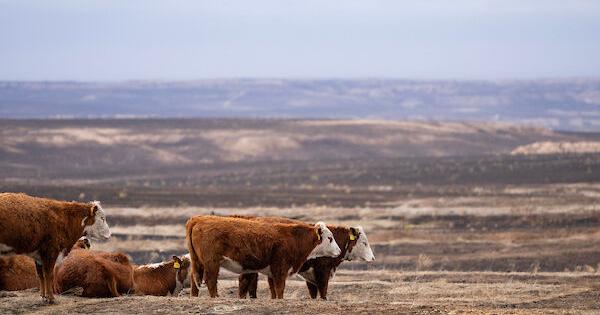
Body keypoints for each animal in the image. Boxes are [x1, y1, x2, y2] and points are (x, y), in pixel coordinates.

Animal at [185, 216, 340, 300]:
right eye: (330, 238)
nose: (339, 251)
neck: (293, 237)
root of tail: (198, 219)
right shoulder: (280, 269)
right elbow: (280, 288)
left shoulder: (272, 272)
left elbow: (274, 290)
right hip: (211, 262)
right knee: (211, 280)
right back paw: (215, 297)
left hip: (198, 261)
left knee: (194, 278)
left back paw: (194, 296)